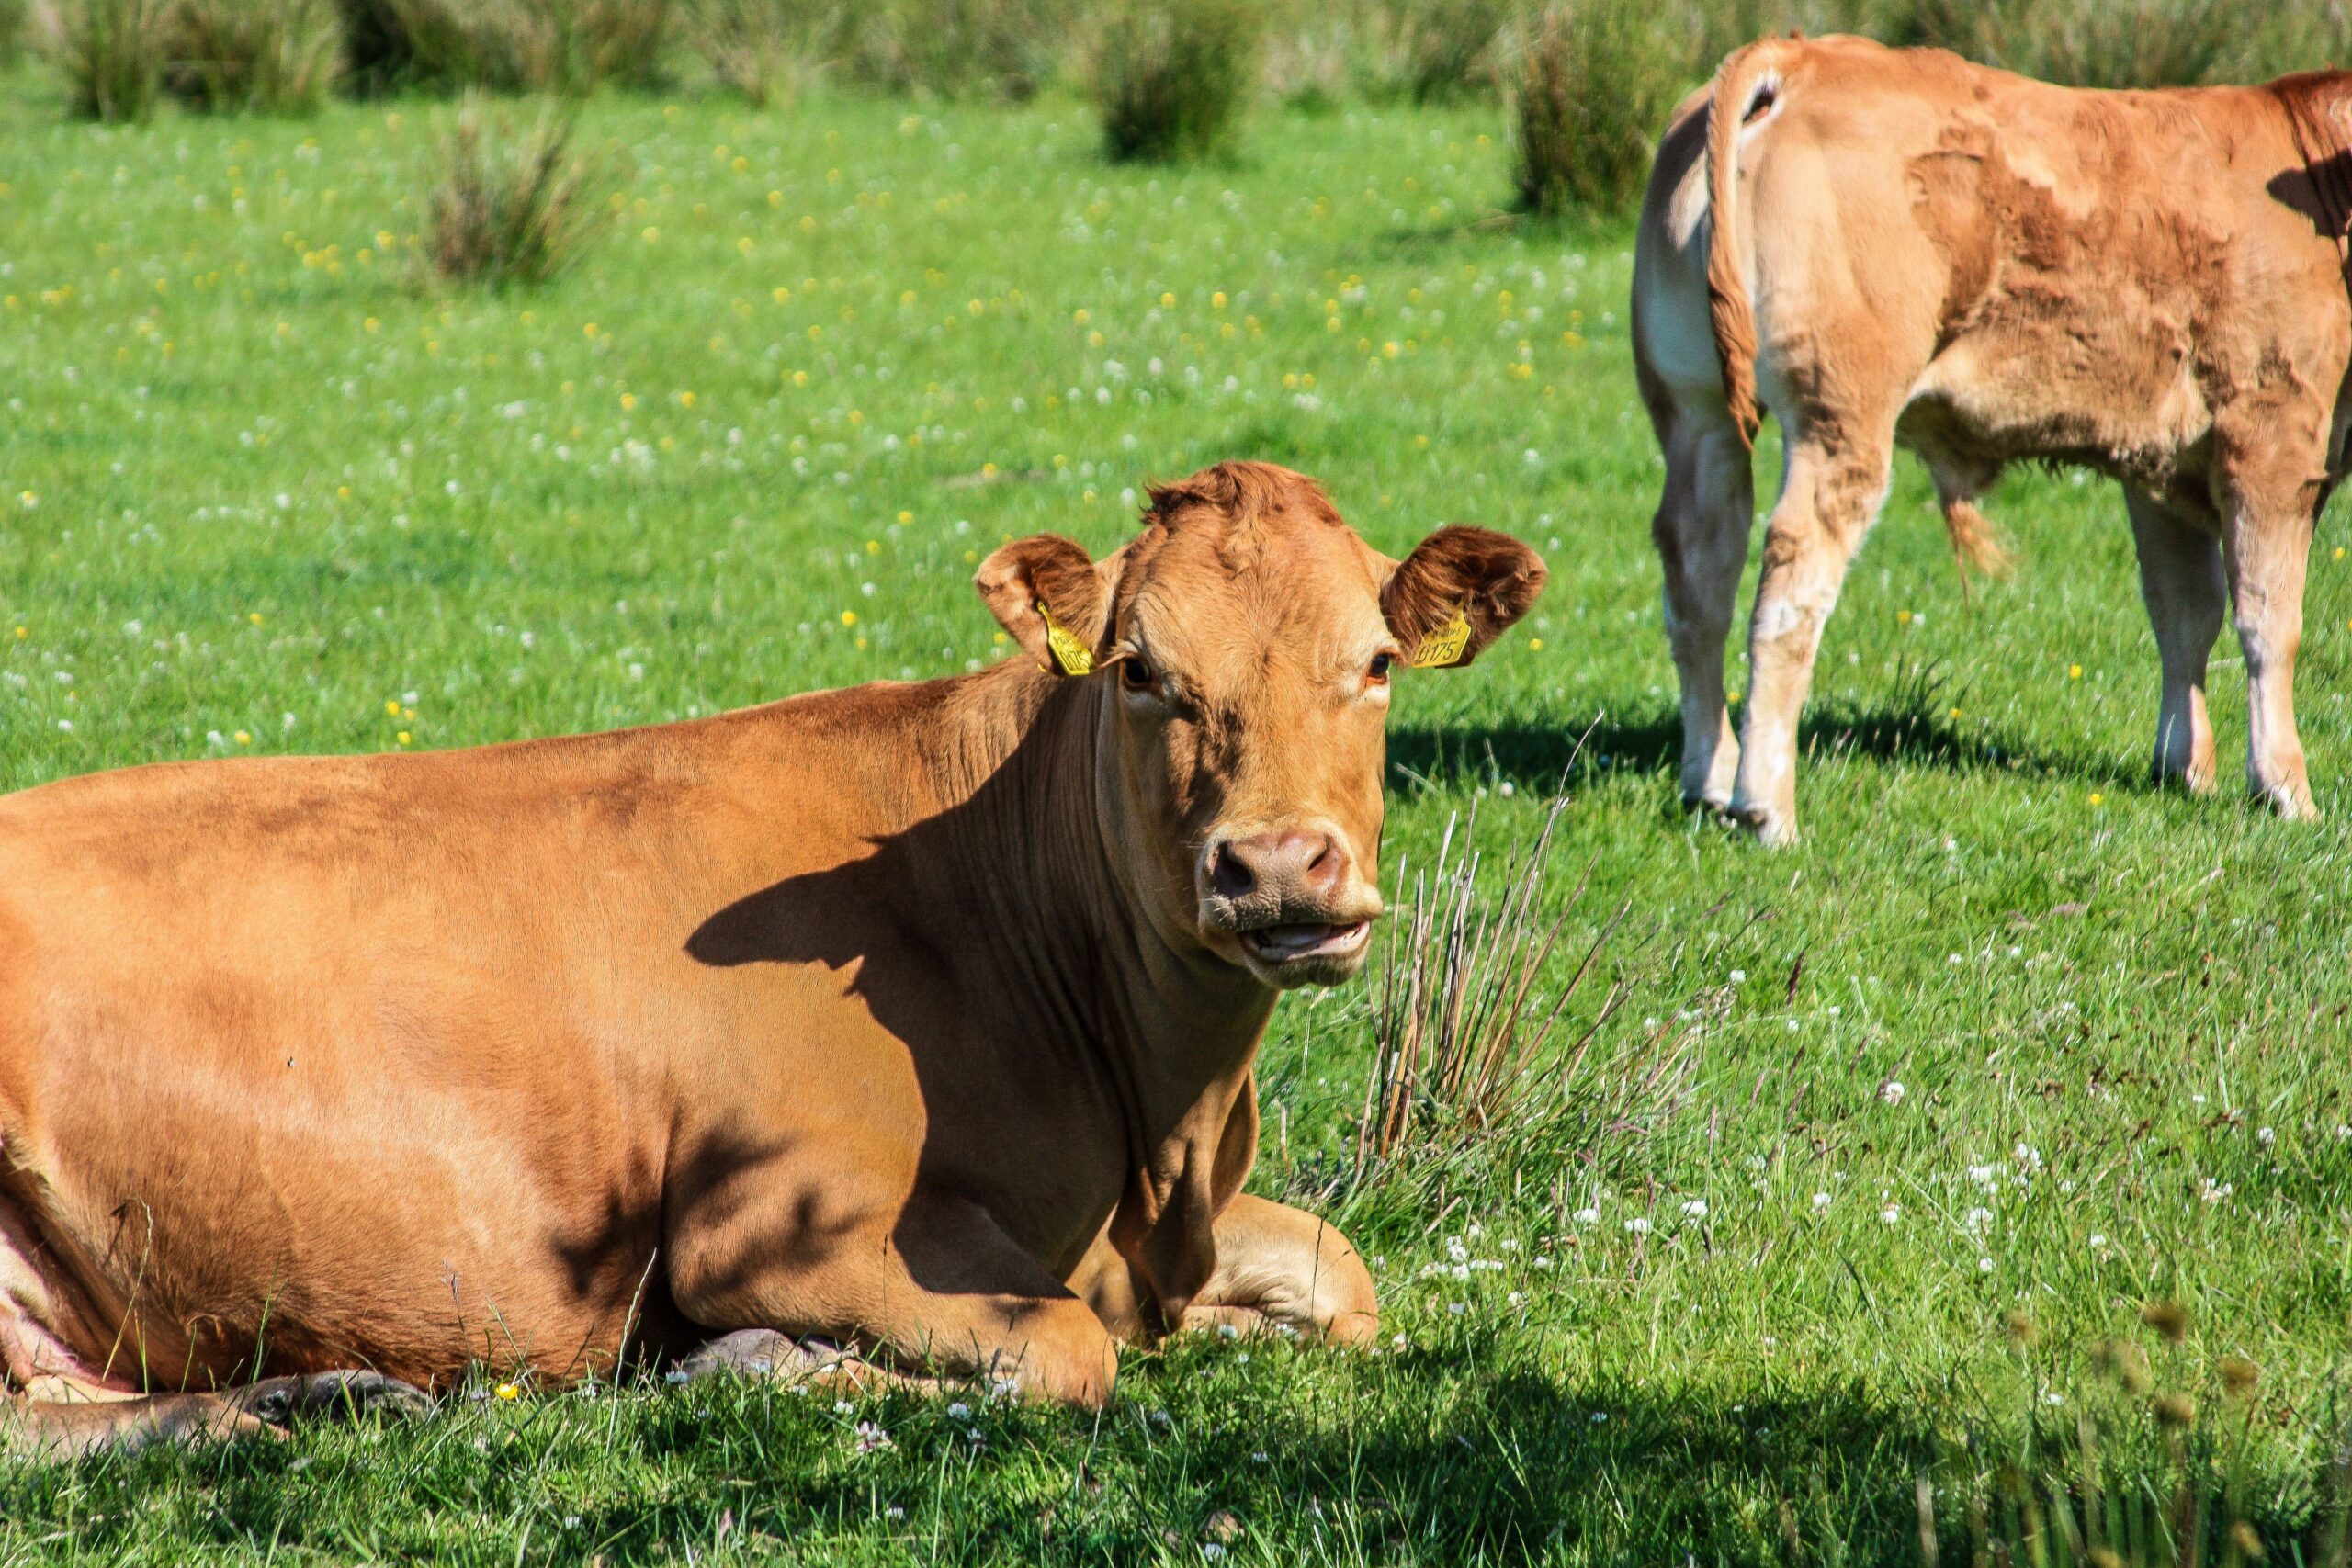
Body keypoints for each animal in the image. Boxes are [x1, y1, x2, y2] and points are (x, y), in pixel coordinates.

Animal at [0, 461, 1545, 1454]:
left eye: (1377, 663)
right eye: (1139, 670)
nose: (1278, 865)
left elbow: (1342, 1276)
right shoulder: (775, 1221)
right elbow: (1066, 1349)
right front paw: (747, 1362)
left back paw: (312, 1396)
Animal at [1634, 35, 2352, 844]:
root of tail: (1797, 55)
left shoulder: (2160, 463)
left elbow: (2182, 613)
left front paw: (2185, 768)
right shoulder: (2274, 444)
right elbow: (2270, 621)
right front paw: (2285, 787)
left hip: (1695, 413)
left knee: (1699, 575)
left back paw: (1708, 777)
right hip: (1839, 419)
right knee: (1789, 586)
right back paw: (1767, 807)